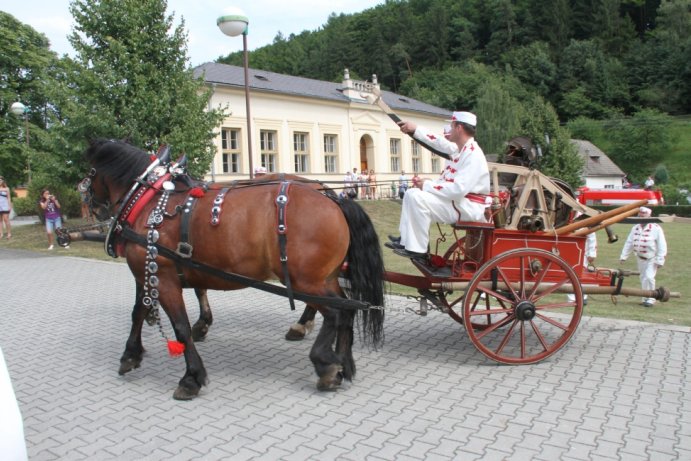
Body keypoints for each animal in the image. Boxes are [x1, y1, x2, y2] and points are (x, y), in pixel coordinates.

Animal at [84, 140, 386, 398]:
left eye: (89, 172)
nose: (91, 207)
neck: (148, 200)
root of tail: (335, 199)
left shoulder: (163, 276)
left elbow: (180, 326)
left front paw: (191, 377)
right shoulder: (148, 273)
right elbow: (139, 311)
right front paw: (131, 354)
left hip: (305, 281)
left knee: (336, 313)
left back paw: (324, 363)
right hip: (325, 277)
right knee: (347, 311)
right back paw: (344, 362)